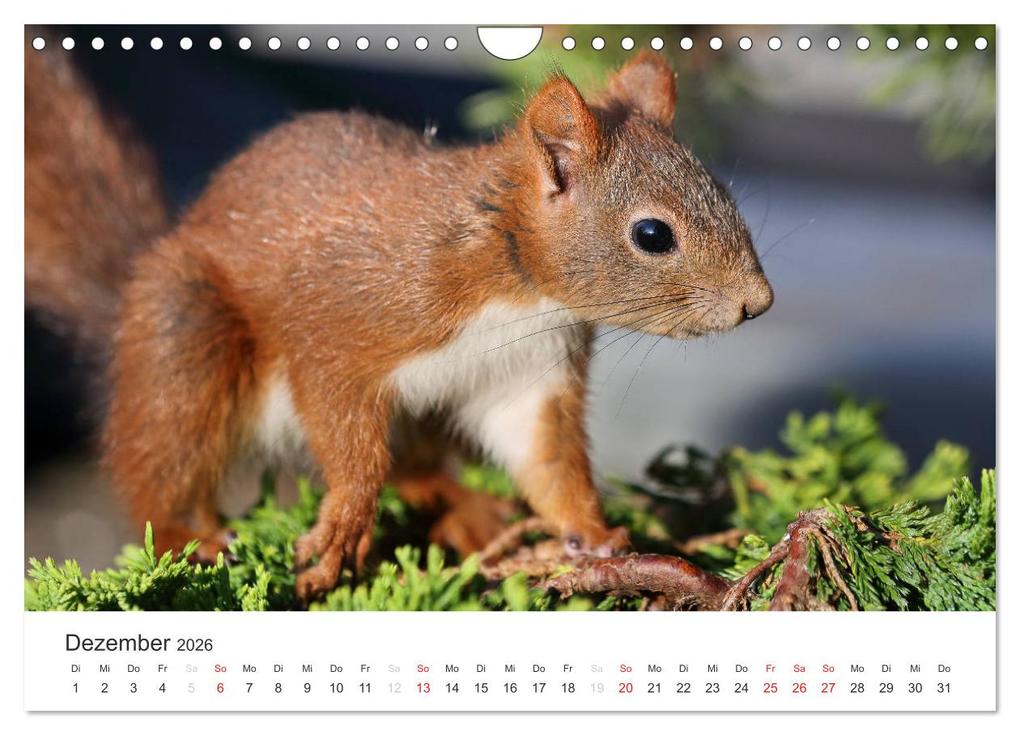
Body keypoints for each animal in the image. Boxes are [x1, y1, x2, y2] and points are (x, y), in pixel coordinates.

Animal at [26, 46, 773, 601]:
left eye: (724, 193)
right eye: (652, 234)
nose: (757, 303)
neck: (518, 291)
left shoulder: (529, 375)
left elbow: (546, 458)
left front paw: (595, 531)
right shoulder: (348, 315)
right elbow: (343, 422)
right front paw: (347, 517)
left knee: (415, 466)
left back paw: (464, 507)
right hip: (186, 337)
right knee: (158, 463)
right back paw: (188, 536)